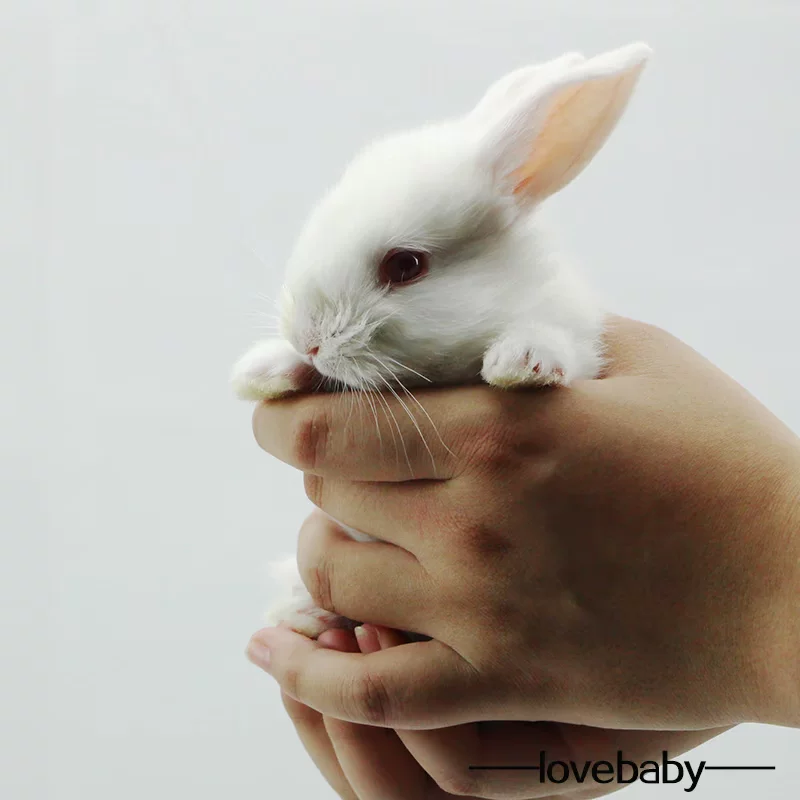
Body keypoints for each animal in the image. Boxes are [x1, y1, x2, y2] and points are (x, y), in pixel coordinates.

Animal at [232, 42, 652, 638]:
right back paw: (302, 610)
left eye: (406, 265)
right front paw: (261, 372)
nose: (308, 338)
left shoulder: (573, 332)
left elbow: (554, 341)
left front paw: (520, 364)